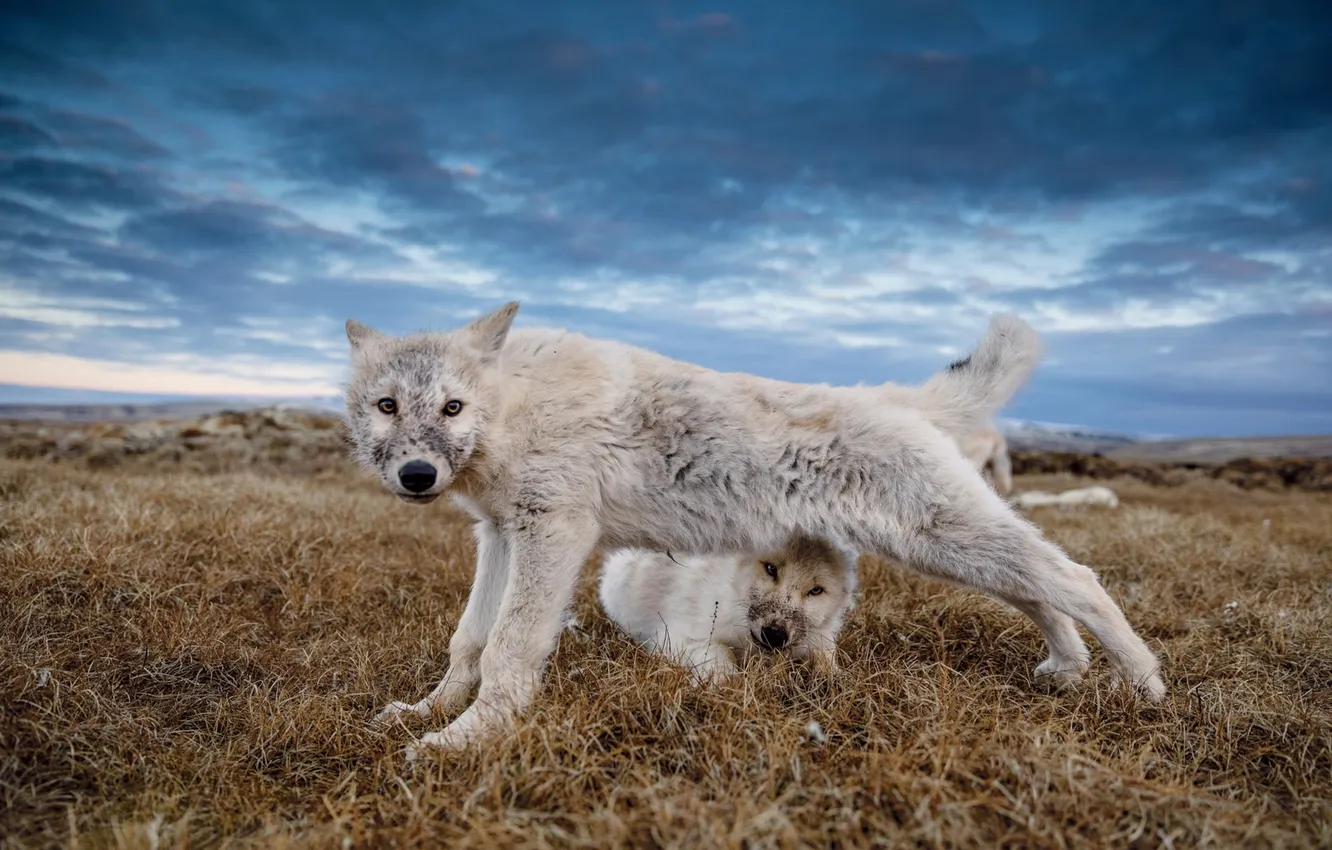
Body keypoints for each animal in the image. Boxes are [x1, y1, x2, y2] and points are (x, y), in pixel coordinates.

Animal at [598, 534, 859, 682]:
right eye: (771, 569)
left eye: (816, 590)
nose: (774, 635)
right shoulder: (675, 637)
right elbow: (719, 652)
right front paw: (725, 682)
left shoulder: (819, 637)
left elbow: (826, 655)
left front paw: (834, 677)